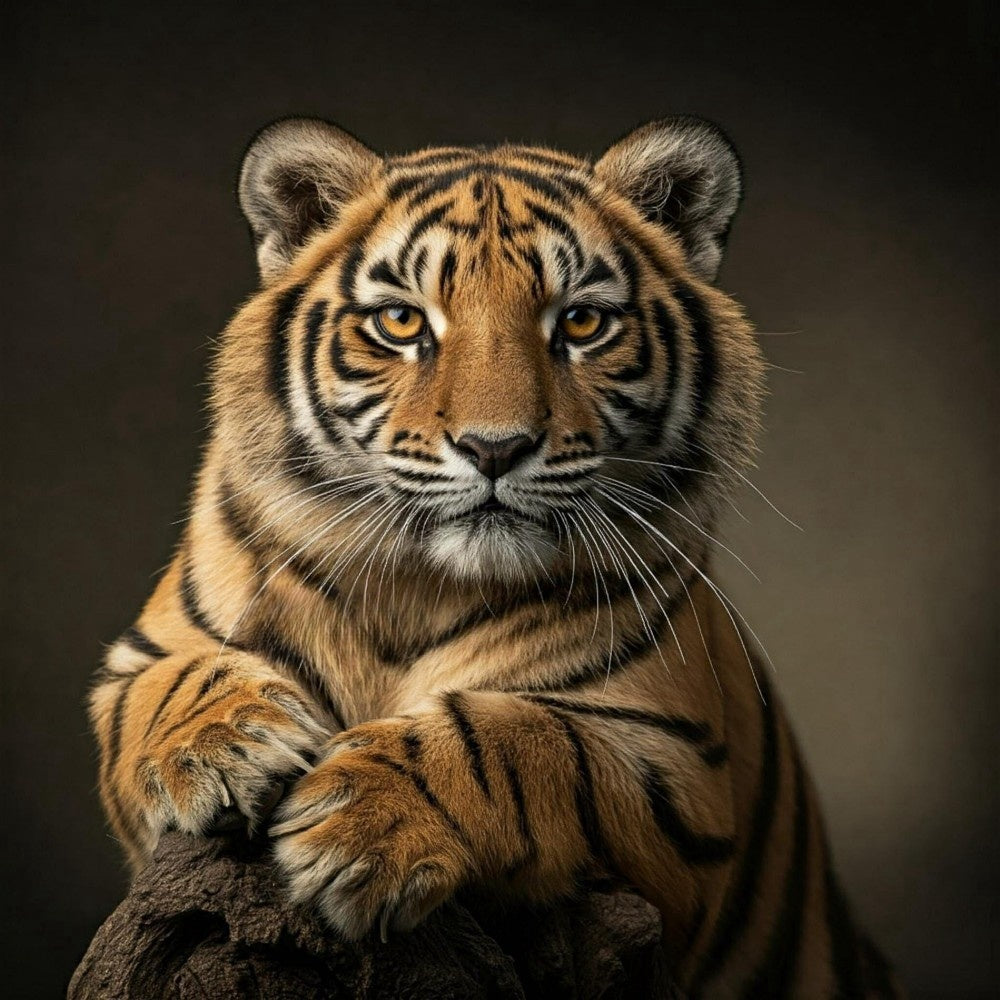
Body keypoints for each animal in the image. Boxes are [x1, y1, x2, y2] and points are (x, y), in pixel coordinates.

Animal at [88, 115, 902, 998]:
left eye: (580, 324)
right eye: (402, 323)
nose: (495, 448)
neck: (420, 587)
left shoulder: (678, 771)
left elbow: (519, 741)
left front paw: (363, 821)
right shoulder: (137, 666)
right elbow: (172, 684)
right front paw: (227, 744)